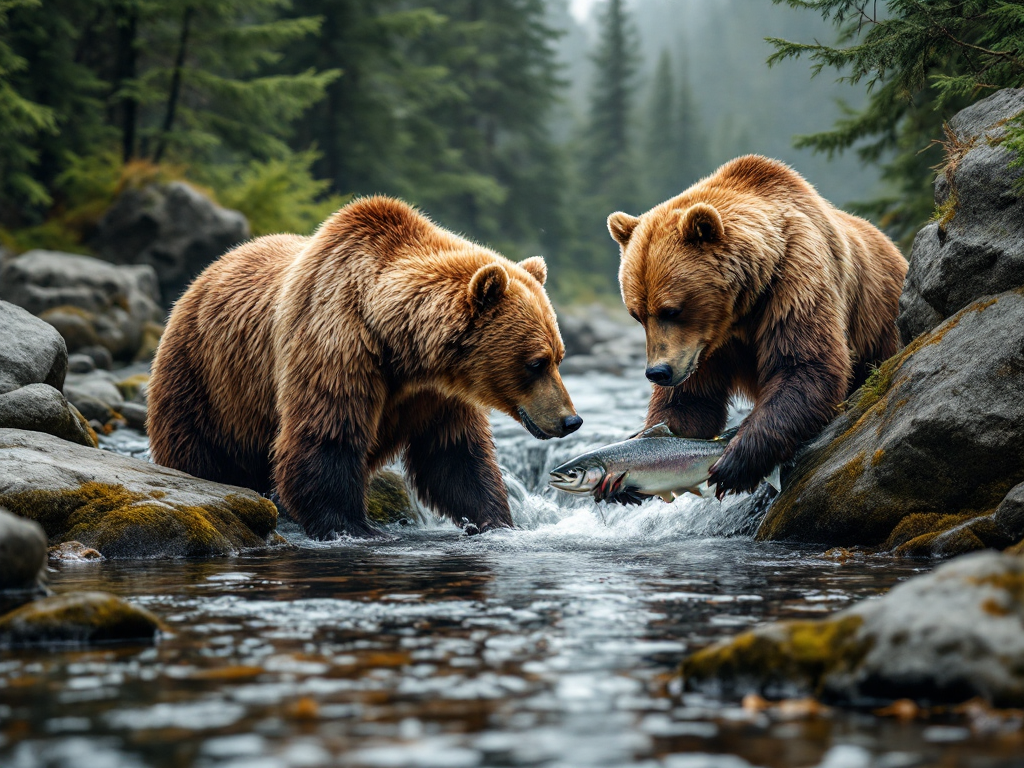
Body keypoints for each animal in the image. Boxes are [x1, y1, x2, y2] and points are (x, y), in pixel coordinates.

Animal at [148, 196, 582, 539]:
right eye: (536, 362)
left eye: (560, 356)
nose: (570, 420)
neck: (401, 348)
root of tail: (205, 272)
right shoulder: (336, 346)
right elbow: (326, 435)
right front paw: (351, 526)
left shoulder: (438, 393)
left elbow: (454, 454)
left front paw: (496, 520)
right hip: (205, 378)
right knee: (198, 450)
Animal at [606, 155, 907, 498]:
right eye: (636, 314)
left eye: (671, 310)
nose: (658, 372)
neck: (740, 309)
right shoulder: (703, 349)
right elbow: (691, 401)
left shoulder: (793, 284)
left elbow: (802, 364)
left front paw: (737, 460)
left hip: (879, 317)